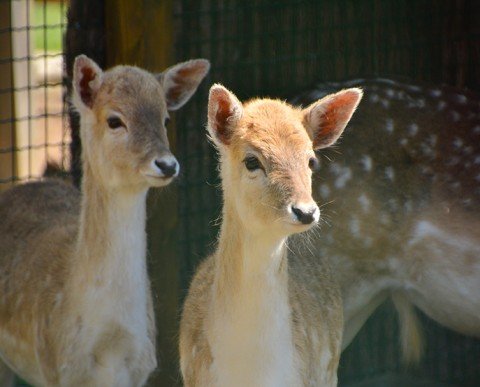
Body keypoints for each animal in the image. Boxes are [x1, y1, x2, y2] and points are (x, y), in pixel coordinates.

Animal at [0, 55, 210, 387]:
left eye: (165, 119)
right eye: (114, 120)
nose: (167, 164)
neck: (110, 345)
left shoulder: (140, 370)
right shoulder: (55, 367)